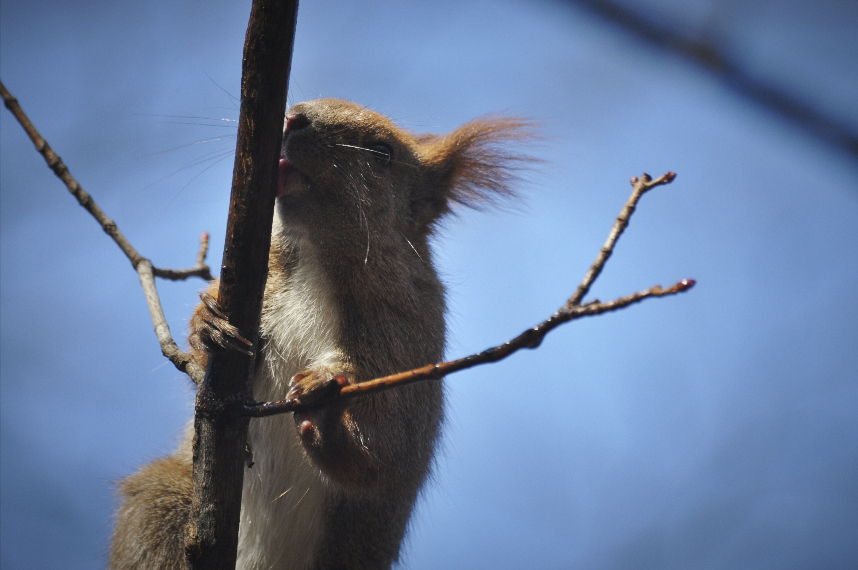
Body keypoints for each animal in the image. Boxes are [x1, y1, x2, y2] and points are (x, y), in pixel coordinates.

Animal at [108, 100, 528, 564]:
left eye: (382, 153)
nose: (294, 116)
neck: (314, 253)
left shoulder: (411, 332)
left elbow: (389, 446)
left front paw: (327, 412)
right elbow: (206, 372)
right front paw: (207, 324)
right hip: (159, 501)